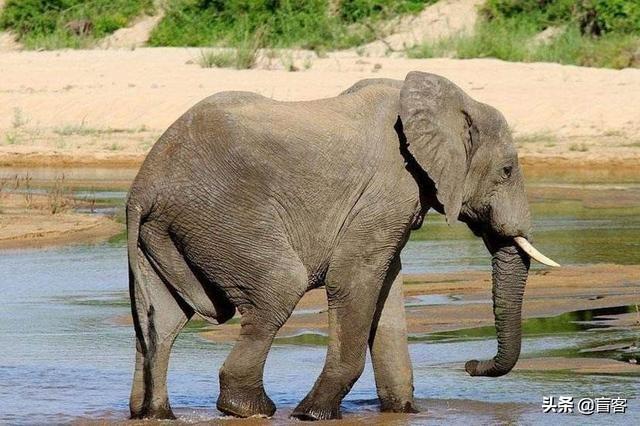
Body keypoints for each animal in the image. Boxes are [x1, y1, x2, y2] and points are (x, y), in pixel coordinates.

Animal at [125, 70, 556, 420]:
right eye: (506, 171)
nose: (469, 365)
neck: (453, 101)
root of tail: (144, 188)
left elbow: (388, 289)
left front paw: (404, 411)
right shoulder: (390, 186)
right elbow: (354, 279)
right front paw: (313, 415)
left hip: (164, 234)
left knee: (163, 318)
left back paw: (154, 413)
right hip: (226, 216)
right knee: (279, 287)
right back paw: (251, 409)